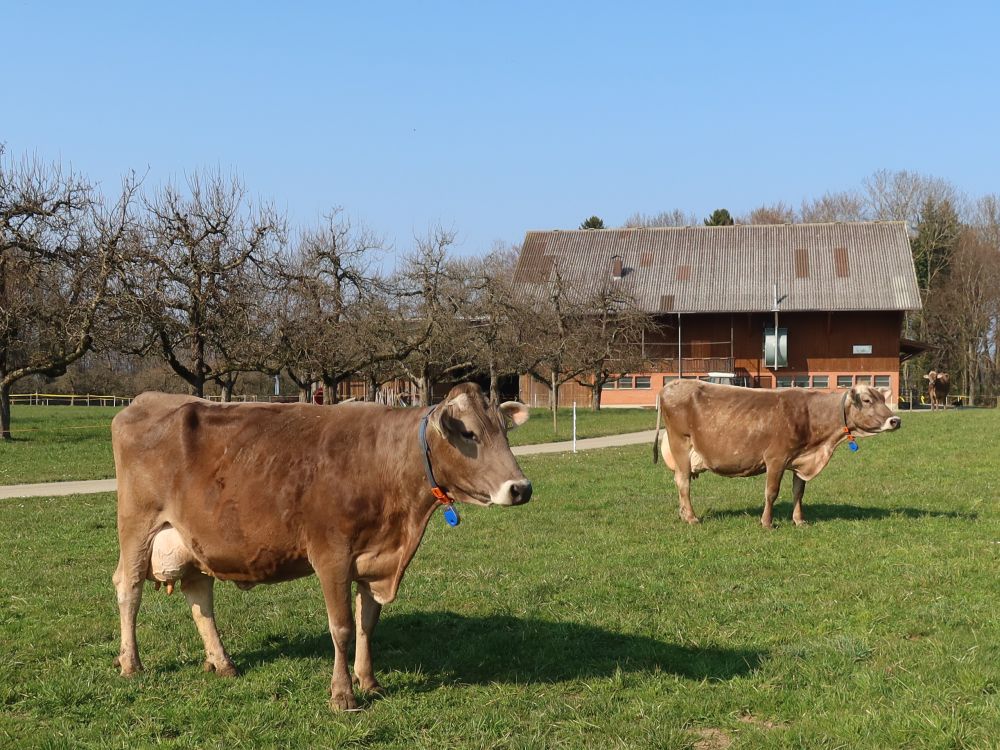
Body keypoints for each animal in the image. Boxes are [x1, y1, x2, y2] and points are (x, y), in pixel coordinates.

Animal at [110, 384, 532, 712]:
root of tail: (144, 401)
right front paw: (342, 695)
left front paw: (369, 680)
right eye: (469, 434)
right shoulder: (332, 555)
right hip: (136, 525)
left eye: (505, 432)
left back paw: (222, 661)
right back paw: (131, 664)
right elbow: (342, 626)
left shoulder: (374, 557)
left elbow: (367, 623)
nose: (521, 488)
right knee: (129, 588)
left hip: (195, 537)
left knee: (199, 595)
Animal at [652, 382, 904, 528]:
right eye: (868, 400)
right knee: (683, 482)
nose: (895, 420)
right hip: (680, 443)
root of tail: (674, 383)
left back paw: (683, 514)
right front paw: (767, 522)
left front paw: (799, 520)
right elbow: (771, 492)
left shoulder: (799, 460)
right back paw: (691, 517)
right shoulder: (776, 458)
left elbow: (798, 493)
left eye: (883, 399)